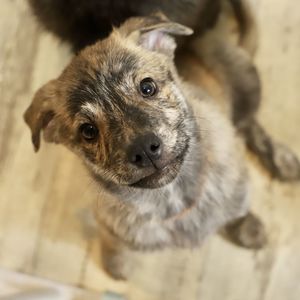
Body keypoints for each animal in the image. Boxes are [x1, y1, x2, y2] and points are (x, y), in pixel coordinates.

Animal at [24, 0, 300, 278]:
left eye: (148, 87)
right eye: (88, 131)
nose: (145, 150)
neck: (172, 196)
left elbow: (236, 211)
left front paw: (245, 224)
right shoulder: (110, 224)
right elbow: (116, 246)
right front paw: (117, 265)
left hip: (246, 82)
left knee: (250, 124)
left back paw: (281, 160)